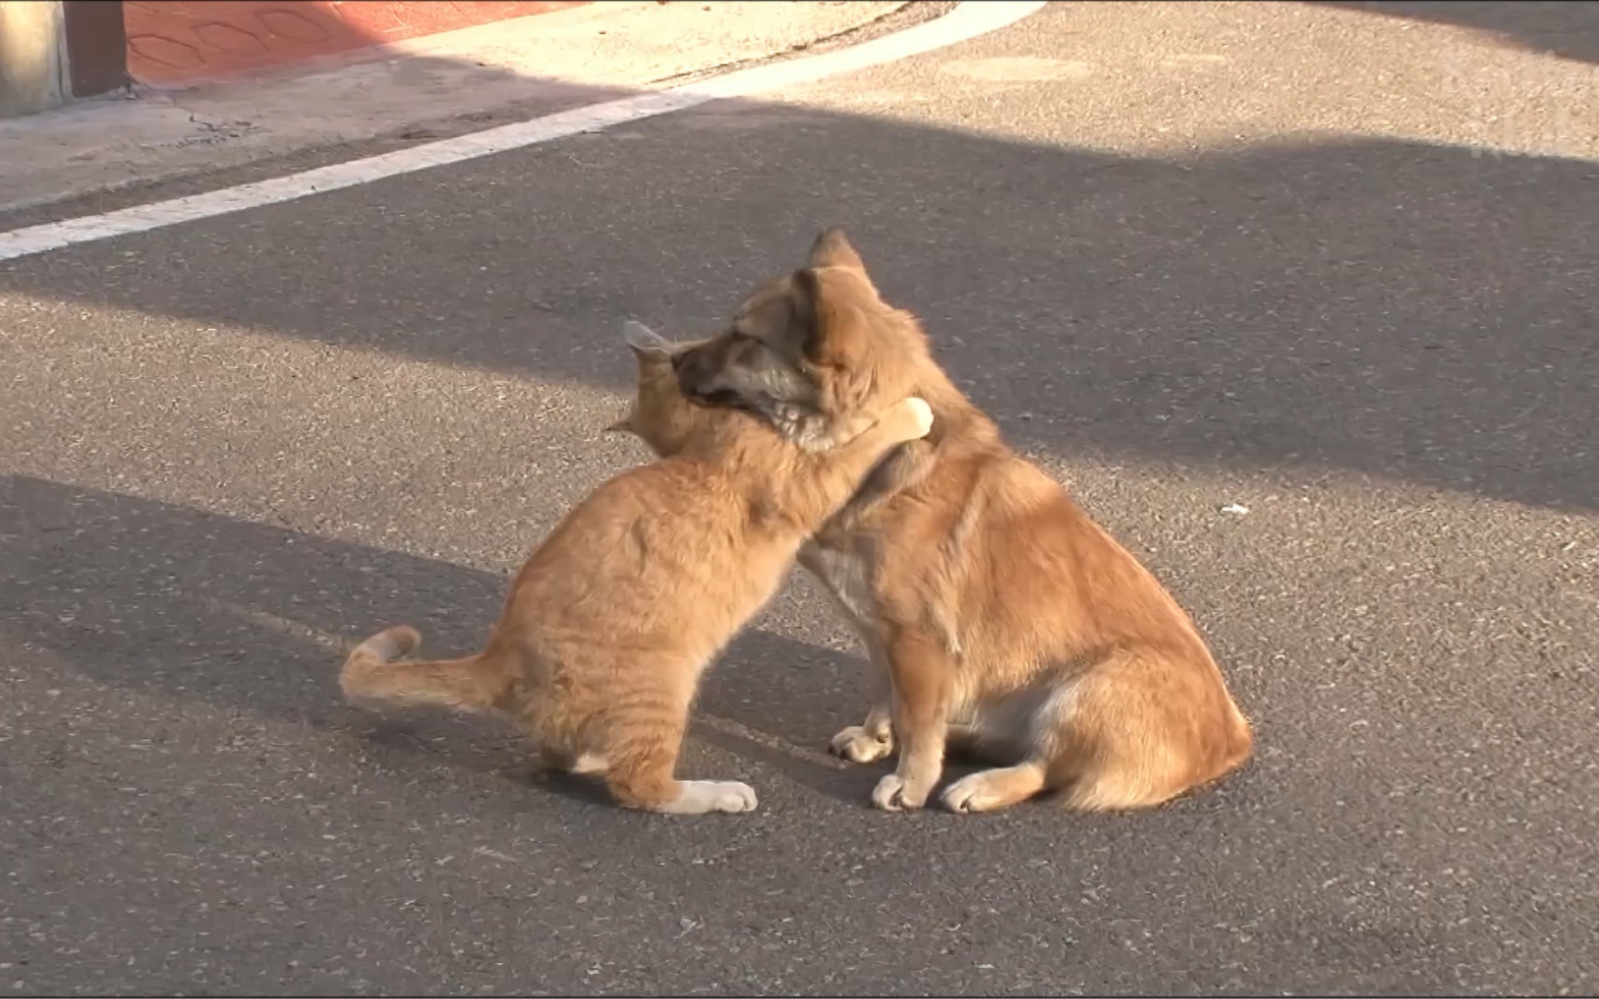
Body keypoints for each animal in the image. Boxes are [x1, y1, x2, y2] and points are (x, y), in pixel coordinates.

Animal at [342, 322, 933, 815]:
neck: (701, 442)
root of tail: (497, 656)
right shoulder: (811, 484)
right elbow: (864, 439)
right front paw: (911, 410)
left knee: (562, 753)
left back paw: (592, 756)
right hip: (663, 688)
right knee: (640, 786)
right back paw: (717, 794)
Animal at [668, 228, 1253, 811]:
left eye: (742, 337)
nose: (672, 362)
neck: (886, 446)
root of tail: (1234, 740)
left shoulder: (918, 642)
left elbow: (919, 724)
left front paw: (911, 781)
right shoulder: (882, 634)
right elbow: (888, 696)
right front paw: (876, 737)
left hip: (1088, 690)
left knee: (1044, 768)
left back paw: (981, 784)